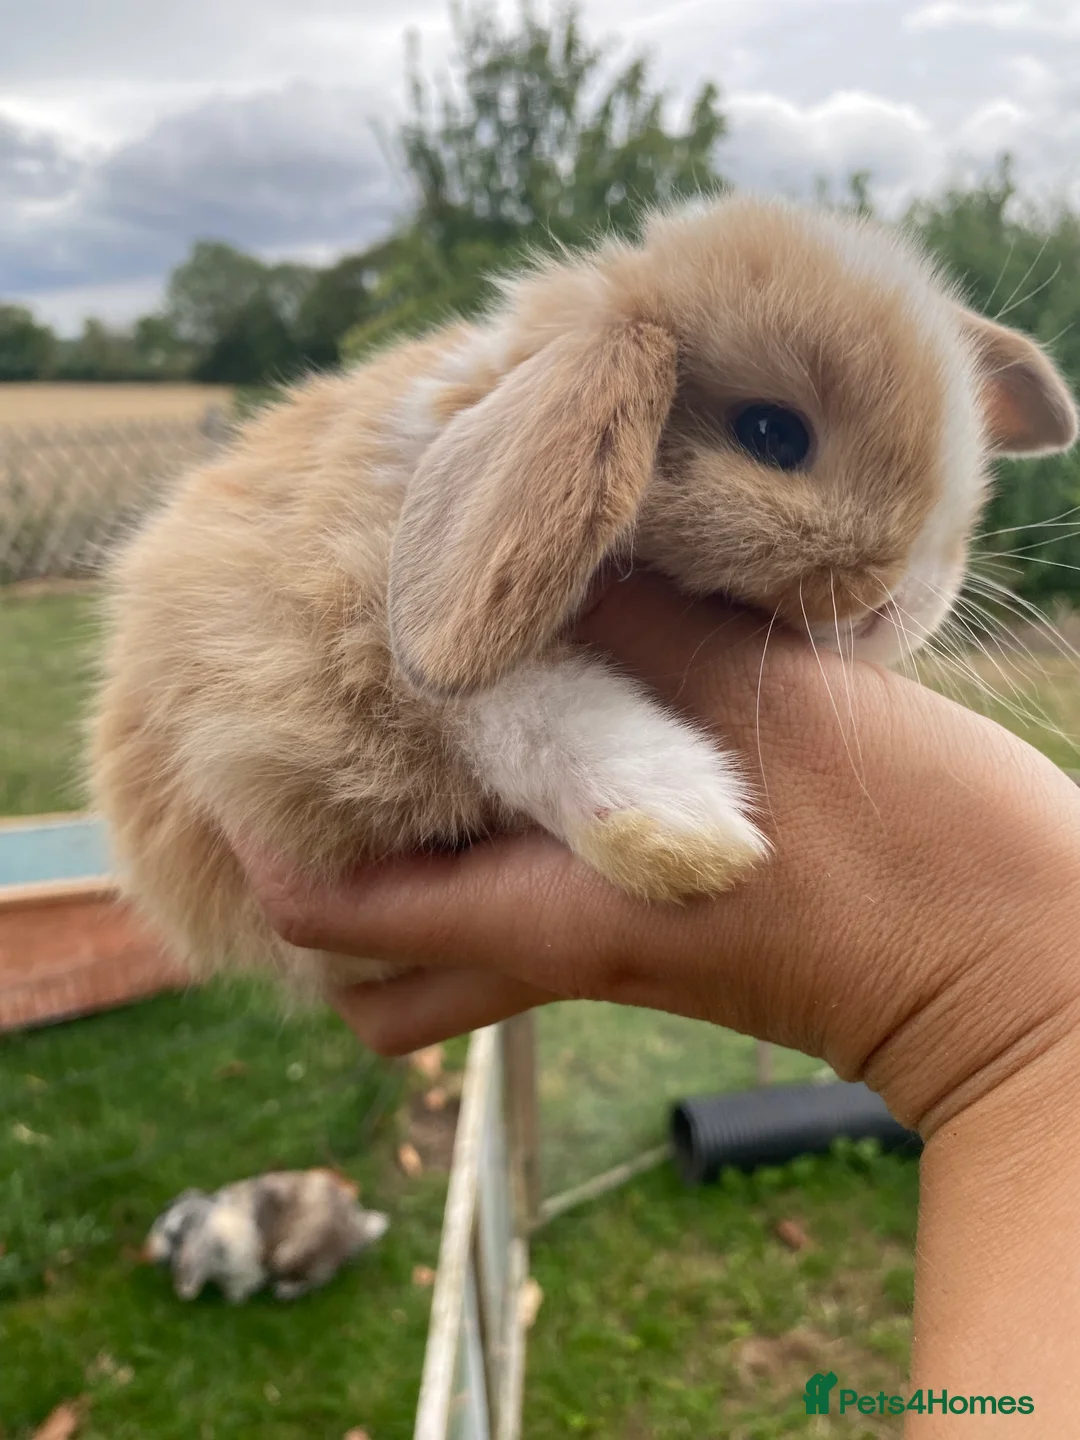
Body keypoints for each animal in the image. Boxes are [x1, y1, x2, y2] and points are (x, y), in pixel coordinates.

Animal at [143, 1169, 390, 1303]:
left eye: (175, 1236)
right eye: (161, 1221)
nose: (154, 1255)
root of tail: (359, 1229)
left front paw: (231, 1298)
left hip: (290, 1255)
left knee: (316, 1278)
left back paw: (285, 1291)